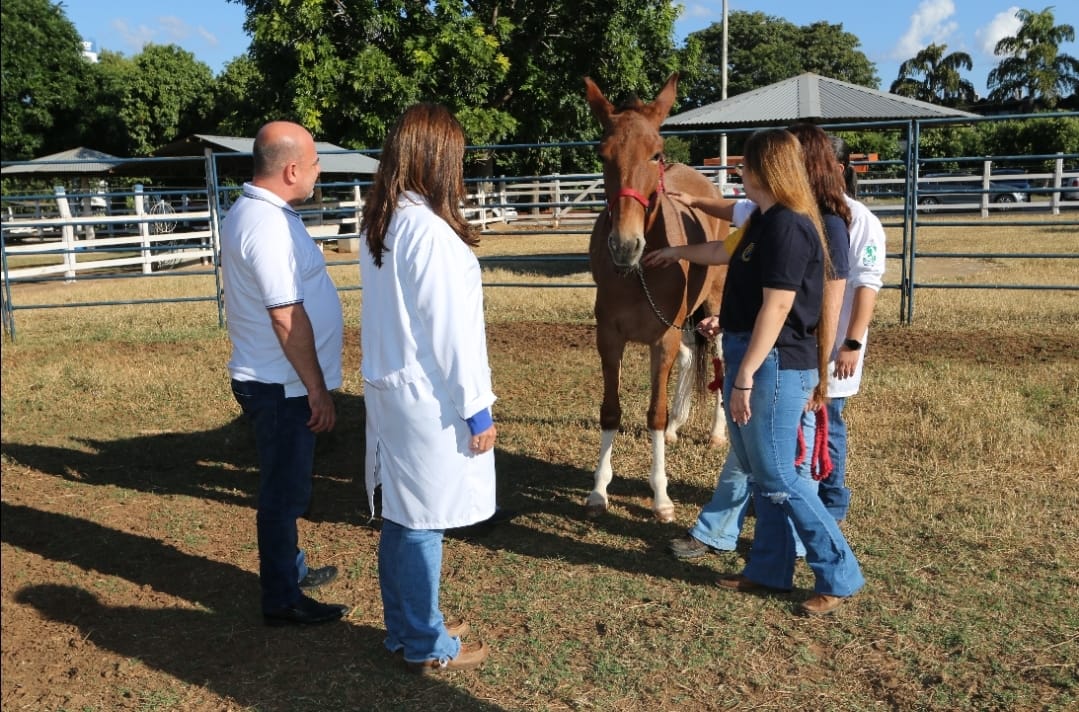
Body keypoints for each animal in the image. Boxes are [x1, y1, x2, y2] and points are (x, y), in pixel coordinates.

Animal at [586, 72, 729, 522]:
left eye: (656, 154)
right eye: (603, 154)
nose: (624, 245)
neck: (639, 271)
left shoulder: (661, 339)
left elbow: (655, 414)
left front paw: (662, 496)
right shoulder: (609, 338)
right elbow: (610, 410)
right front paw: (599, 489)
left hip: (714, 304)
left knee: (719, 360)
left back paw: (716, 432)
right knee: (688, 358)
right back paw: (681, 426)